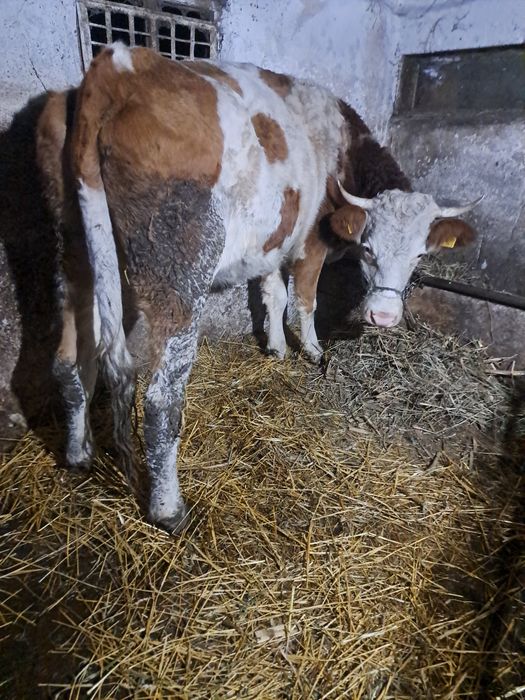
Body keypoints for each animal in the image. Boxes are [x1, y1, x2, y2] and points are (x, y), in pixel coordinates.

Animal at [36, 43, 480, 532]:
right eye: (367, 249)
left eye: (420, 255)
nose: (382, 317)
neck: (339, 147)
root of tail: (120, 64)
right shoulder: (311, 242)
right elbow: (303, 299)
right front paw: (312, 351)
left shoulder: (273, 244)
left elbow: (273, 293)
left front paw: (275, 348)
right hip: (180, 269)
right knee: (160, 399)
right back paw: (169, 510)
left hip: (73, 252)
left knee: (69, 362)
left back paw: (78, 454)